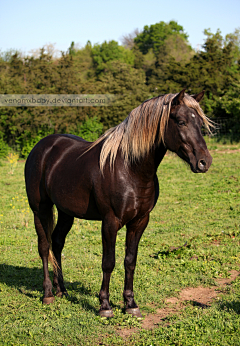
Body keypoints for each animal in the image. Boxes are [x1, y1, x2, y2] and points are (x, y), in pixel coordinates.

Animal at [24, 89, 212, 316]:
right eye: (182, 122)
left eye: (200, 124)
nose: (204, 162)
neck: (130, 169)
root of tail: (41, 147)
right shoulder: (110, 222)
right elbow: (108, 262)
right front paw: (105, 305)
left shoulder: (140, 221)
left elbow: (130, 261)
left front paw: (130, 304)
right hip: (40, 210)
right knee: (44, 247)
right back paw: (48, 294)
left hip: (66, 212)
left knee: (57, 243)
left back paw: (62, 290)